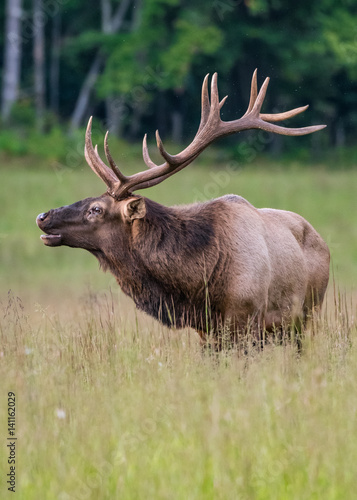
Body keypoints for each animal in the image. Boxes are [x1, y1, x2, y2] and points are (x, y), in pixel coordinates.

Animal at [36, 70, 328, 346]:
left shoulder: (248, 321)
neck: (198, 285)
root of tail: (321, 239)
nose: (42, 216)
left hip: (307, 316)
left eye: (96, 209)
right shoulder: (206, 333)